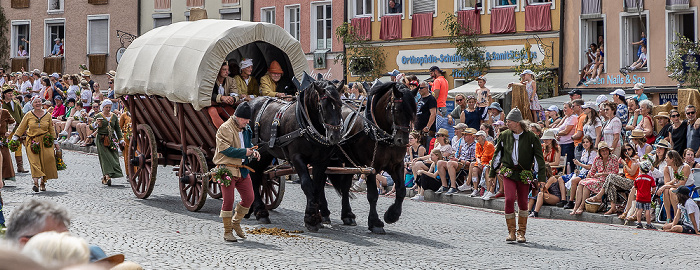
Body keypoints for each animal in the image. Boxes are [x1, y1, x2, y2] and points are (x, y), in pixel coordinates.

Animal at [247, 79, 344, 231]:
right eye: (323, 107)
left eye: (340, 105)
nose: (335, 136)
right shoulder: (297, 158)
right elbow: (307, 184)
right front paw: (311, 219)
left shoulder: (321, 161)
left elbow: (317, 187)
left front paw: (316, 217)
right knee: (252, 175)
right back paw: (259, 210)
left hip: (265, 153)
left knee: (256, 175)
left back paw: (258, 210)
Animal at [326, 80, 418, 234]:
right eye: (397, 110)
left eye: (413, 112)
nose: (403, 140)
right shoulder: (370, 167)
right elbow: (373, 195)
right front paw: (375, 223)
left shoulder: (397, 165)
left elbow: (401, 191)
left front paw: (392, 215)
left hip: (349, 162)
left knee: (345, 187)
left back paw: (347, 215)